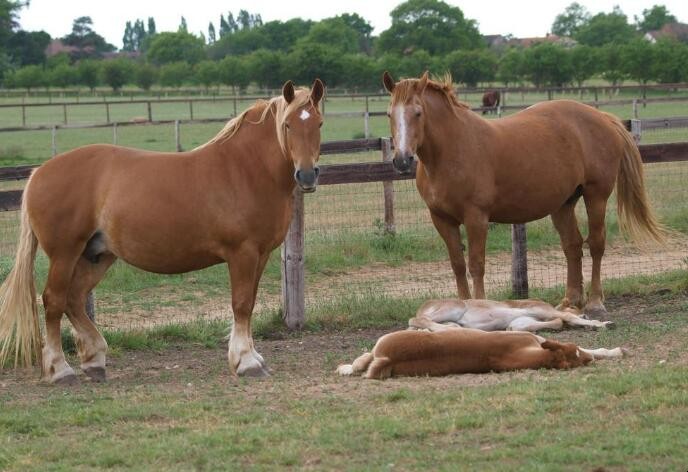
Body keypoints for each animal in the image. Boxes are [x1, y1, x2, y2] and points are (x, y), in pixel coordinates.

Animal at [0, 76, 326, 380]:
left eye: (319, 123)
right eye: (287, 125)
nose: (307, 175)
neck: (246, 169)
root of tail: (39, 172)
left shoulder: (261, 254)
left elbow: (250, 302)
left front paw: (252, 357)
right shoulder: (242, 253)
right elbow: (242, 304)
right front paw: (246, 362)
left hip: (96, 255)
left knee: (74, 298)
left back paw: (94, 360)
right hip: (65, 253)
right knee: (54, 301)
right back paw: (60, 369)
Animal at [384, 73, 664, 318]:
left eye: (418, 113)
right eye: (389, 113)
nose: (402, 160)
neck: (452, 150)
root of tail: (602, 117)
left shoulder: (476, 218)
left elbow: (476, 264)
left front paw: (478, 305)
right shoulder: (441, 219)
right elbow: (457, 264)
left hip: (596, 196)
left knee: (595, 244)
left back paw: (595, 302)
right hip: (563, 204)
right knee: (572, 246)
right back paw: (570, 301)